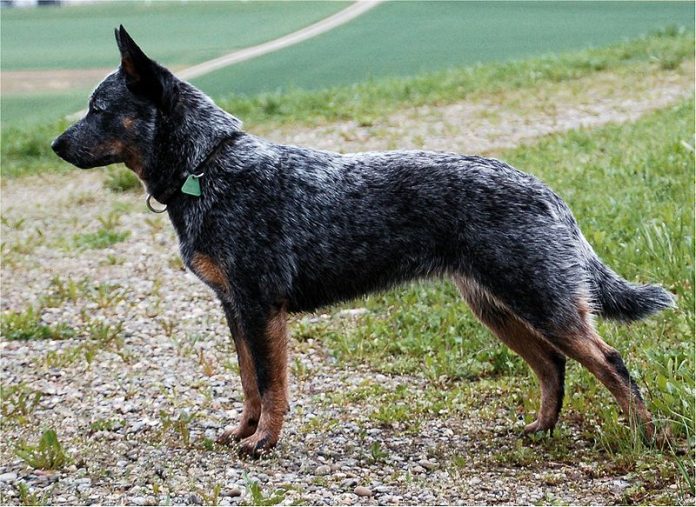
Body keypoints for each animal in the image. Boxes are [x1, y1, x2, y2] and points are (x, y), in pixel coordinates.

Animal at [53, 26, 676, 456]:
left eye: (98, 109)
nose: (55, 145)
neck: (208, 166)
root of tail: (548, 191)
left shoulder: (260, 308)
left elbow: (272, 386)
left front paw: (264, 443)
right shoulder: (234, 309)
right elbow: (250, 385)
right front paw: (242, 432)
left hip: (540, 303)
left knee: (611, 362)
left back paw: (649, 439)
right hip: (497, 307)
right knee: (552, 366)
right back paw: (541, 430)